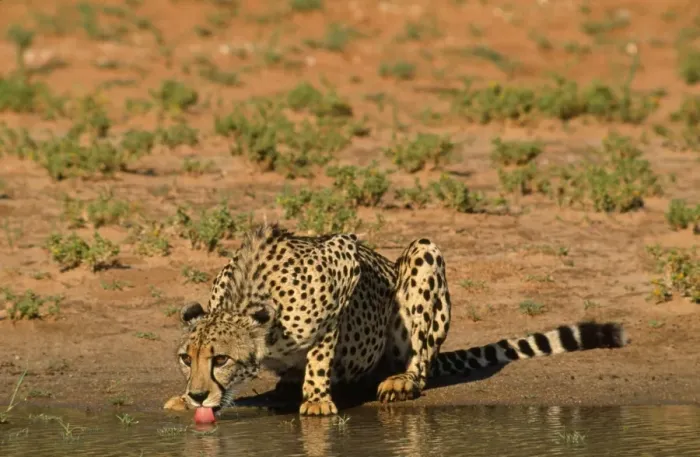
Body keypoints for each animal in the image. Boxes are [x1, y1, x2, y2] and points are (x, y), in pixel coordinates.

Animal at [164, 222, 628, 416]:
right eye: (187, 358)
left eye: (221, 359)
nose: (199, 396)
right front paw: (185, 398)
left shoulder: (344, 260)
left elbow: (321, 355)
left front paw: (316, 397)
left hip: (424, 255)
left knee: (420, 359)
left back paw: (402, 380)